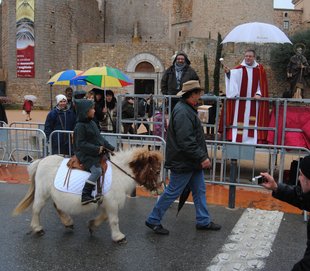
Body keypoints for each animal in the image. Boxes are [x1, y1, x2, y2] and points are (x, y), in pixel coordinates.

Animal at [12, 149, 162, 244]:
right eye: (157, 171)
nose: (160, 189)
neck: (119, 173)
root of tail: (41, 161)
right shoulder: (112, 203)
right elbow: (114, 220)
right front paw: (119, 237)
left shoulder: (107, 203)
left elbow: (104, 216)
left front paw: (92, 225)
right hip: (42, 193)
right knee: (36, 209)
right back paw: (37, 229)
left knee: (57, 206)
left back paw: (68, 222)